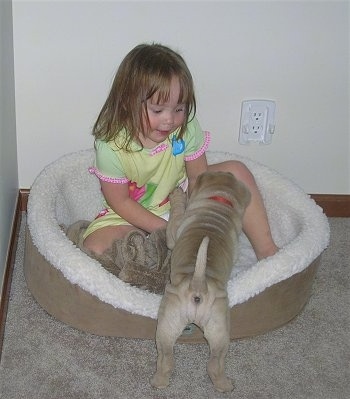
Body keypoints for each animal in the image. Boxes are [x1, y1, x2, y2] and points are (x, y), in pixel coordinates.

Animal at [152, 170, 250, 392]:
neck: (219, 201)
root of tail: (199, 285)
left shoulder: (173, 234)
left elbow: (175, 218)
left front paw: (178, 196)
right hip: (219, 329)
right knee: (215, 362)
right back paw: (224, 385)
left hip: (167, 323)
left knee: (166, 357)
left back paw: (159, 381)